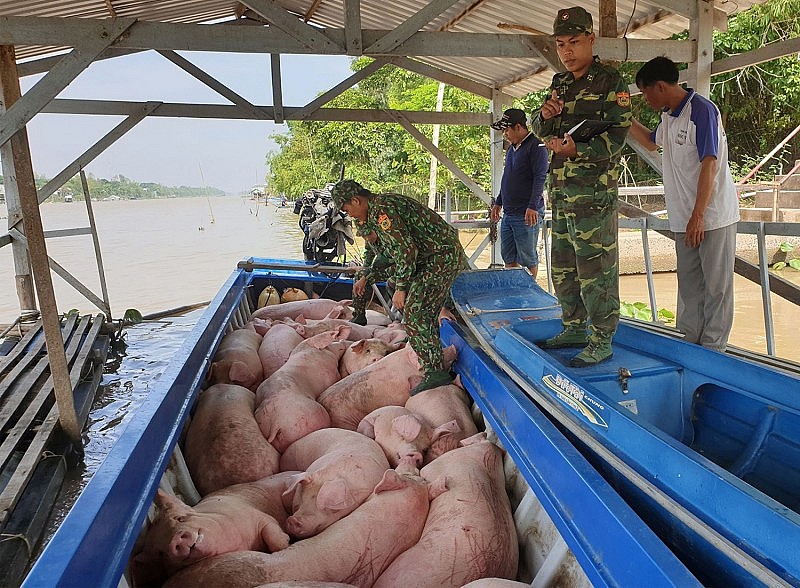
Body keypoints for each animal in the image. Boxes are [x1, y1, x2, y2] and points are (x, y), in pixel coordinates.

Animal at [131, 474, 296, 584]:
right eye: (161, 552)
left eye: (180, 518)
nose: (175, 541)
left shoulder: (258, 516)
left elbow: (273, 536)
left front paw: (286, 542)